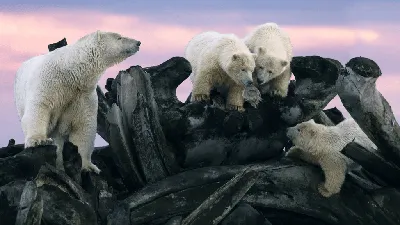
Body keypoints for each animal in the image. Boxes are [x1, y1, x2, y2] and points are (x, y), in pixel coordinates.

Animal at [13, 30, 141, 173]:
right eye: (119, 37)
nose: (138, 42)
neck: (69, 71)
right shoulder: (49, 83)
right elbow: (39, 107)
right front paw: (39, 140)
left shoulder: (82, 95)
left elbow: (83, 125)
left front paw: (89, 166)